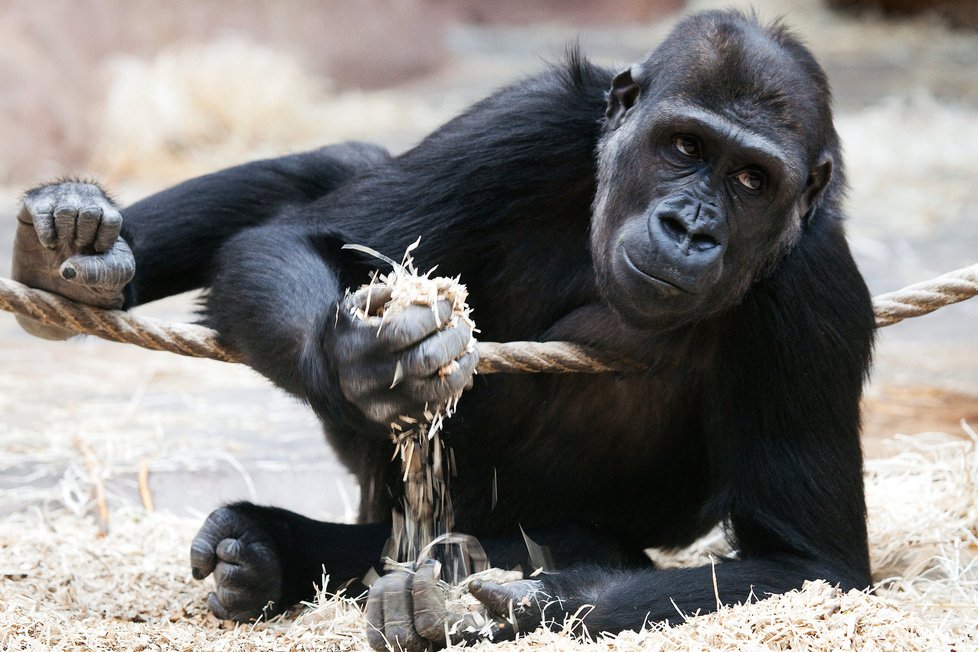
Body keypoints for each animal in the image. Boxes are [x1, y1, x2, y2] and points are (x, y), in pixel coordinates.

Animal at [13, 7, 868, 648]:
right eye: (684, 145)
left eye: (752, 180)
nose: (690, 227)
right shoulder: (531, 121)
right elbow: (297, 238)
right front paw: (361, 364)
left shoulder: (816, 296)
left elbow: (804, 563)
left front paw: (538, 602)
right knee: (332, 171)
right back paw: (74, 254)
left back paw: (273, 555)